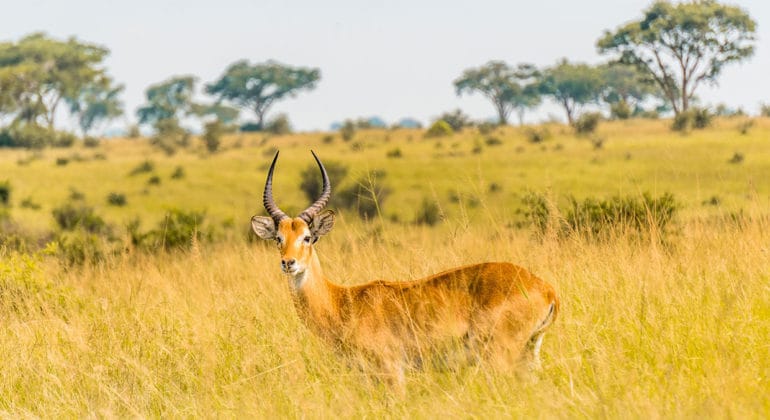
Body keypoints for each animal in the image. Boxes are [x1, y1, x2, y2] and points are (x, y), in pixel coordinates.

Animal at [252, 150, 560, 388]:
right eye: (278, 238)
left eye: (307, 237)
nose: (288, 263)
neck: (342, 302)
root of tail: (546, 289)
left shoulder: (391, 371)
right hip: (528, 354)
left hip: (500, 357)